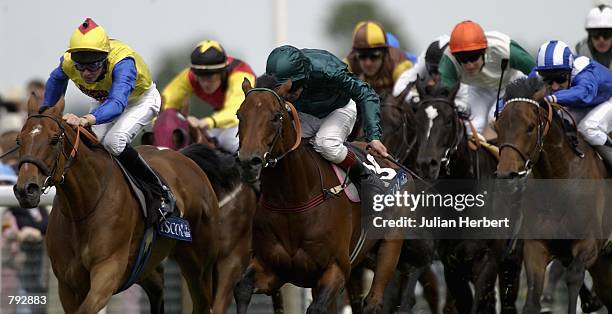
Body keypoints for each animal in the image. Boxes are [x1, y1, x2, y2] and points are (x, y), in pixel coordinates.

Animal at [11, 97, 220, 312]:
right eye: (19, 140)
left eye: (54, 140)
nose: (26, 190)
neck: (83, 208)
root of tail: (185, 158)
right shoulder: (67, 285)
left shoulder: (107, 270)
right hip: (146, 265)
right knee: (157, 288)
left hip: (200, 264)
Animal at [237, 79, 408, 314]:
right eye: (239, 115)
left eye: (275, 116)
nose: (248, 162)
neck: (292, 199)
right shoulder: (271, 267)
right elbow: (242, 288)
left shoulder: (336, 268)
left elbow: (316, 308)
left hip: (390, 244)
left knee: (373, 300)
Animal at [412, 81, 520, 314]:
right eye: (418, 121)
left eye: (448, 120)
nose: (426, 165)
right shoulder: (452, 265)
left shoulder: (487, 261)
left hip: (512, 258)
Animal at [494, 76, 608, 314]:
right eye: (497, 127)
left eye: (530, 127)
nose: (506, 176)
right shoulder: (536, 246)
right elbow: (532, 300)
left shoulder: (589, 245)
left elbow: (573, 279)